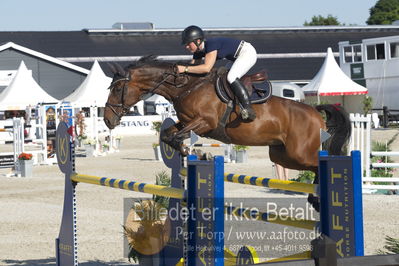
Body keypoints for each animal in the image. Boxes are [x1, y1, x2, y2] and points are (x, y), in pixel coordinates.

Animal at [104, 55, 352, 210]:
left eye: (118, 88)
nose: (107, 119)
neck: (185, 86)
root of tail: (314, 111)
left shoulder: (205, 122)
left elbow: (175, 137)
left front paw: (197, 153)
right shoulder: (186, 122)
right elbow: (168, 136)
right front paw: (194, 153)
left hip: (298, 152)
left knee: (319, 164)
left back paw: (318, 199)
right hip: (281, 155)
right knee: (312, 165)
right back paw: (315, 199)